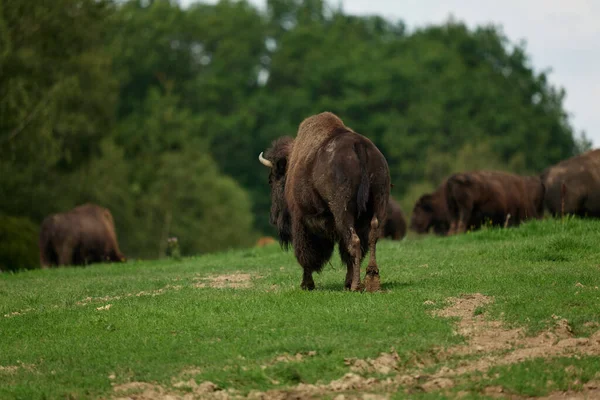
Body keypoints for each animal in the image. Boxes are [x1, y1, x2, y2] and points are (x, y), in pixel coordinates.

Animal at [258, 111, 392, 292]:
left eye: (272, 179)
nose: (273, 217)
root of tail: (359, 146)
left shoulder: (300, 219)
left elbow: (305, 254)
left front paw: (307, 284)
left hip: (343, 211)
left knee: (354, 242)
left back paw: (356, 285)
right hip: (378, 203)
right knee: (370, 239)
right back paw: (371, 282)